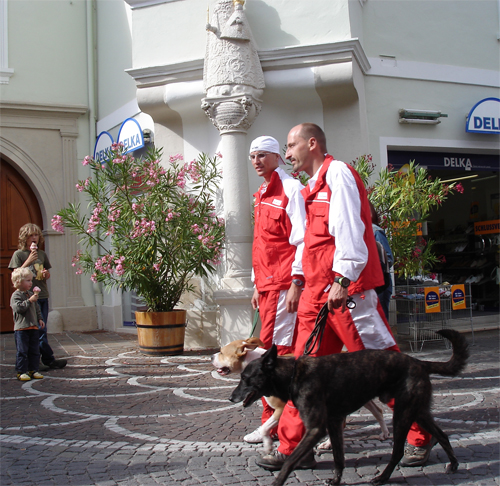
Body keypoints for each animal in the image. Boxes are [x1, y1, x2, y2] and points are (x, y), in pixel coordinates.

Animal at [211, 334, 390, 452]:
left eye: (221, 352)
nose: (212, 356)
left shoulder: (281, 408)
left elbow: (266, 427)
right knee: (378, 410)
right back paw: (384, 433)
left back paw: (328, 444)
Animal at [230, 328, 468, 484]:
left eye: (245, 378)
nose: (231, 398)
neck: (294, 375)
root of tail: (419, 362)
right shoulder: (334, 424)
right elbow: (338, 458)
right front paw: (336, 480)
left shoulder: (316, 429)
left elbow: (290, 463)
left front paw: (278, 480)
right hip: (418, 412)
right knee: (442, 435)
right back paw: (454, 464)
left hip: (403, 414)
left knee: (398, 450)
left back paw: (383, 477)